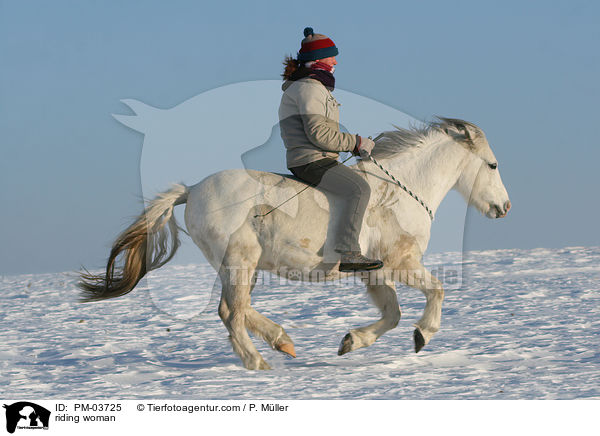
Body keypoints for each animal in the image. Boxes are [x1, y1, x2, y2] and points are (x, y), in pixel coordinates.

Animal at [79, 117, 510, 370]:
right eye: (492, 165)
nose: (503, 207)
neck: (399, 193)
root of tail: (193, 190)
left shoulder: (374, 274)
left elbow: (392, 314)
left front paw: (350, 342)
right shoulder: (399, 263)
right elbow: (435, 292)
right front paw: (423, 336)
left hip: (242, 266)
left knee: (235, 310)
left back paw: (282, 342)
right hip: (240, 260)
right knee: (232, 312)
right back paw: (259, 363)